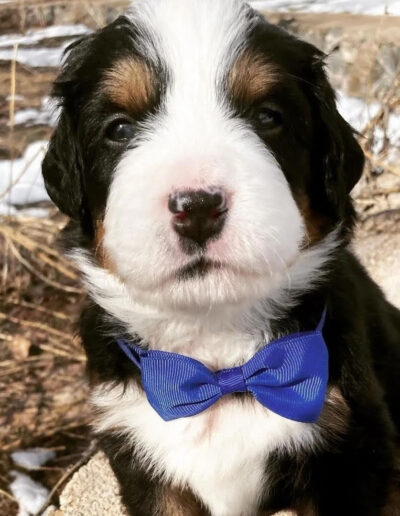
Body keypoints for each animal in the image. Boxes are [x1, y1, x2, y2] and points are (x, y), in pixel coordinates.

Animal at [42, 1, 400, 516]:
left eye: (267, 117)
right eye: (120, 129)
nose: (197, 207)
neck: (216, 354)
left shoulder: (353, 450)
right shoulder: (144, 460)